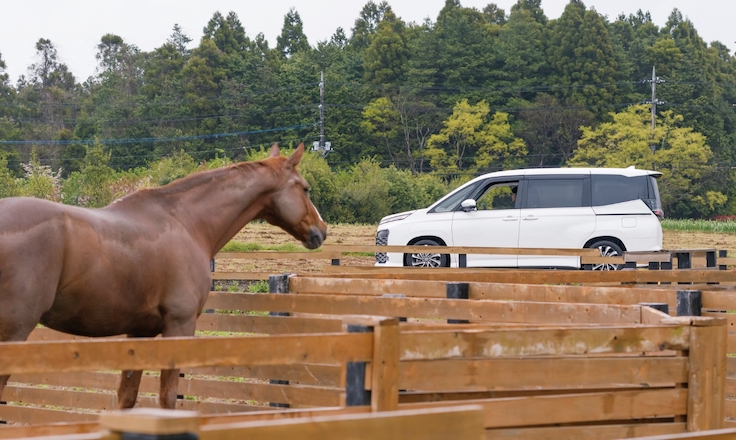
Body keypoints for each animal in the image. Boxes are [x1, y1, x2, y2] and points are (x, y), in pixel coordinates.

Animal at [0, 143, 327, 409]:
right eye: (305, 188)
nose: (321, 231)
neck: (186, 222)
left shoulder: (139, 332)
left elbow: (126, 398)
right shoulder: (179, 327)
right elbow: (168, 399)